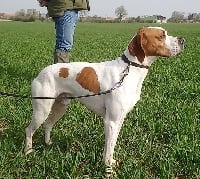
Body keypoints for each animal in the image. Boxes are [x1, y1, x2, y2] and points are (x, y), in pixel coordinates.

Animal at [23, 26, 184, 166]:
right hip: (41, 110)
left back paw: (48, 143)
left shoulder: (119, 120)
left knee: (48, 124)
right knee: (29, 130)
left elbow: (111, 144)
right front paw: (108, 167)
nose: (182, 40)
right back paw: (28, 151)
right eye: (161, 35)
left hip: (60, 107)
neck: (129, 71)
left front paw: (110, 162)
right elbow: (109, 148)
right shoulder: (111, 121)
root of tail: (40, 73)